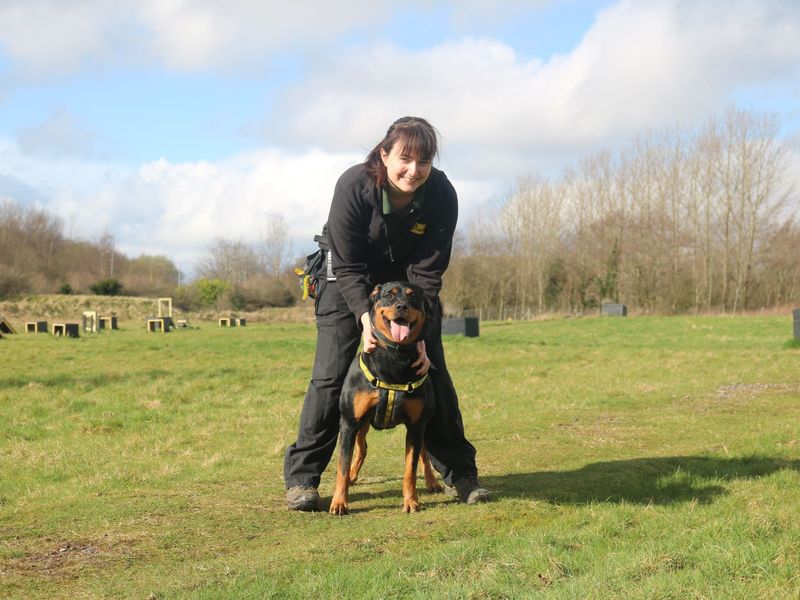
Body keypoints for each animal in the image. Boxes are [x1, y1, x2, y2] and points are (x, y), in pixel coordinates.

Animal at [332, 282, 444, 516]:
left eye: (413, 297)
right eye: (388, 296)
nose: (401, 306)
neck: (396, 358)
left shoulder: (416, 426)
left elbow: (410, 467)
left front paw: (411, 502)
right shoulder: (349, 423)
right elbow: (342, 466)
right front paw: (339, 502)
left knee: (424, 453)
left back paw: (432, 482)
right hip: (361, 423)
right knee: (362, 448)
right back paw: (352, 477)